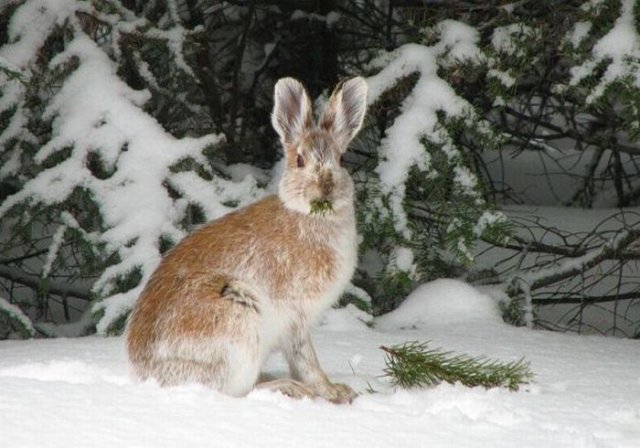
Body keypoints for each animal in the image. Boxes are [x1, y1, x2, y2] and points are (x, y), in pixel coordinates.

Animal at [125, 75, 368, 404]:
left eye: (341, 160)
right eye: (300, 160)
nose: (325, 190)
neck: (309, 216)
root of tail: (147, 375)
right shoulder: (295, 317)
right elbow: (306, 359)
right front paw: (331, 391)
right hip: (238, 323)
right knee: (235, 391)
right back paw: (287, 387)